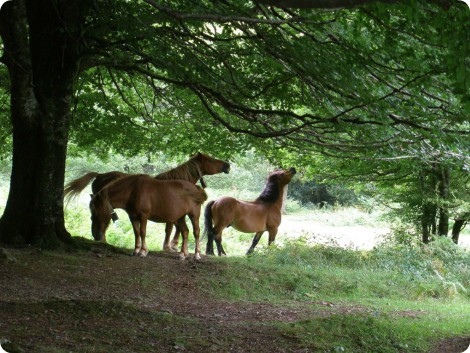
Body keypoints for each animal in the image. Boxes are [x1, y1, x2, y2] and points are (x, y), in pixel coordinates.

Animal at [64, 152, 229, 248]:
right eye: (211, 159)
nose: (227, 165)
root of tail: (99, 175)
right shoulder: (171, 213)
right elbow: (171, 229)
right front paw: (171, 246)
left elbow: (172, 229)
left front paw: (171, 246)